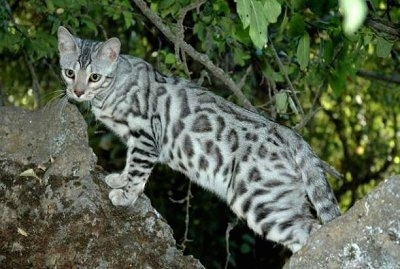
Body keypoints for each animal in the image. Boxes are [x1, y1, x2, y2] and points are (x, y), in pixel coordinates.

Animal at [57, 26, 340, 250]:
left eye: (94, 77)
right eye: (69, 73)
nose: (77, 93)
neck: (110, 91)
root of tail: (286, 131)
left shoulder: (146, 137)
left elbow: (138, 172)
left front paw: (126, 195)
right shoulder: (135, 140)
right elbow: (130, 165)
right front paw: (120, 179)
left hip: (259, 200)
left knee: (311, 231)